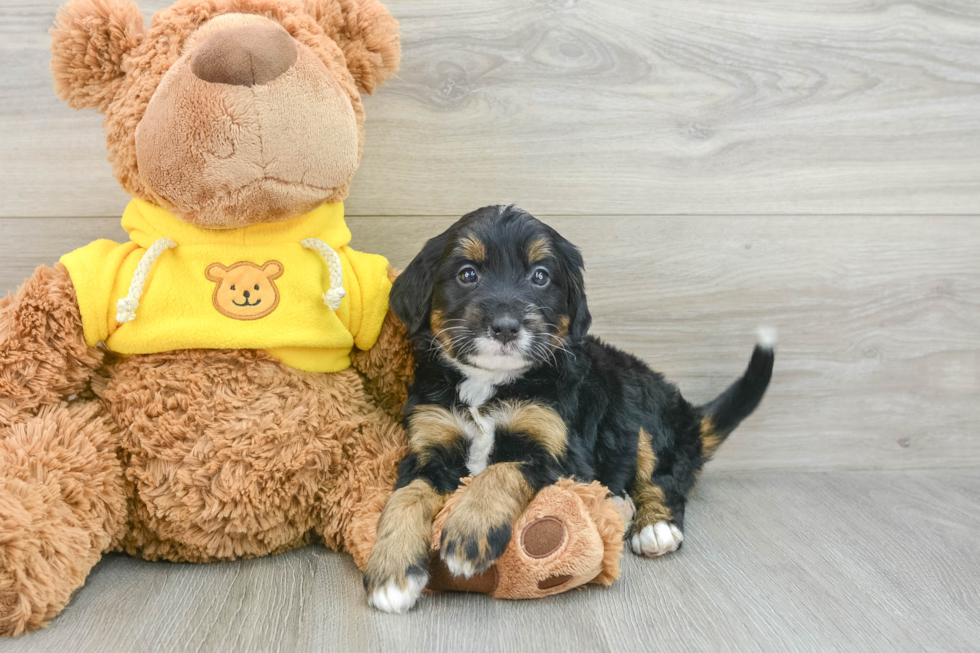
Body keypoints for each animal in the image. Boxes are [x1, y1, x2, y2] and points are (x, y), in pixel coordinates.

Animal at [364, 205, 776, 612]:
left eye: (540, 276)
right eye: (467, 274)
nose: (505, 326)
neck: (489, 383)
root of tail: (689, 417)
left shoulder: (560, 451)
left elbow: (502, 469)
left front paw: (470, 531)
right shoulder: (428, 445)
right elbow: (406, 497)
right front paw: (391, 572)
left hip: (641, 410)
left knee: (662, 476)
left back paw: (654, 527)